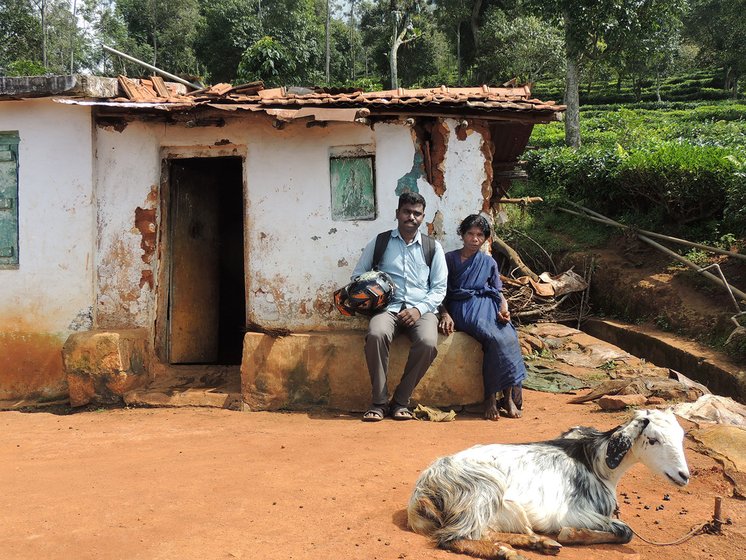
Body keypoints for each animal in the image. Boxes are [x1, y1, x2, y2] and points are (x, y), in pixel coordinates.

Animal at [406, 406, 684, 560]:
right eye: (653, 439)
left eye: (682, 436)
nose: (683, 475)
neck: (596, 461)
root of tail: (421, 491)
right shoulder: (574, 512)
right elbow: (625, 531)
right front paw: (571, 534)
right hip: (482, 489)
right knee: (452, 538)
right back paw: (507, 553)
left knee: (483, 531)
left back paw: (535, 543)